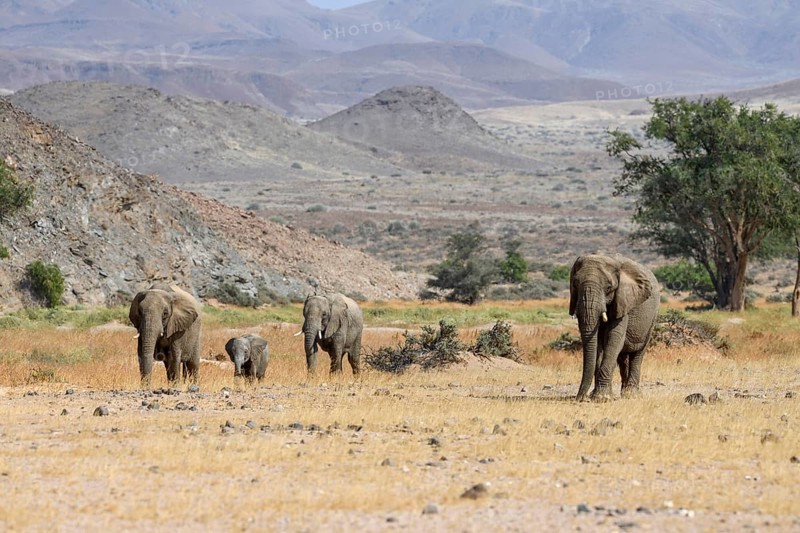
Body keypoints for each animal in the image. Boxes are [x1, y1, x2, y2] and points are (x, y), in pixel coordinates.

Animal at [569, 254, 659, 401]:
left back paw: (631, 394)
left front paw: (602, 397)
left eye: (609, 287)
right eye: (575, 284)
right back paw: (623, 392)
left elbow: (614, 338)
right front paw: (596, 395)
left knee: (638, 354)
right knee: (623, 357)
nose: (580, 398)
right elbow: (598, 343)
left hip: (652, 319)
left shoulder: (623, 301)